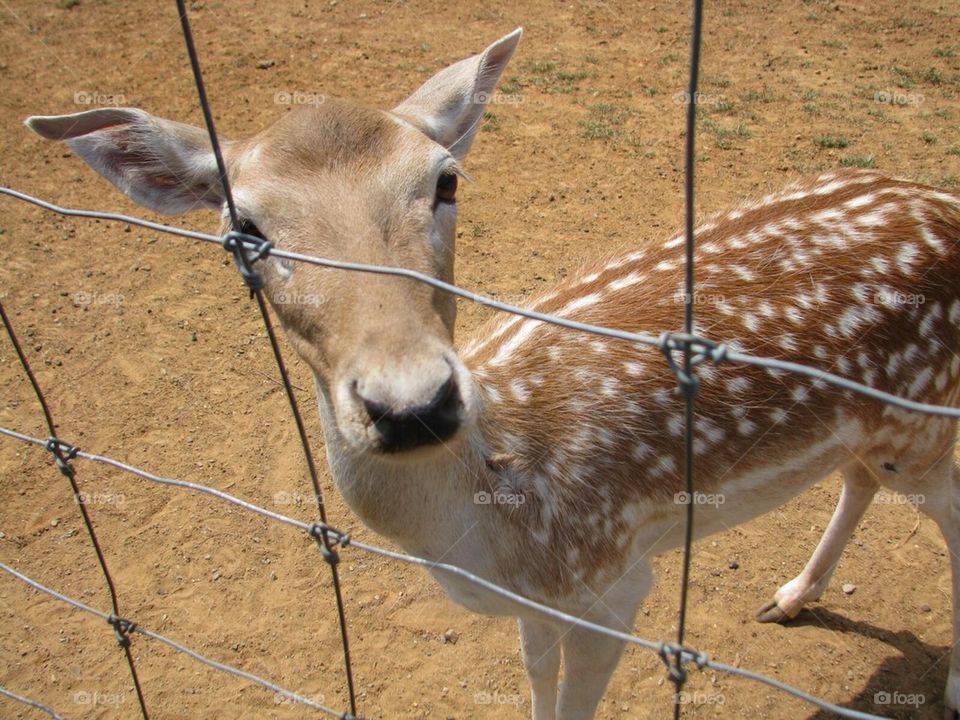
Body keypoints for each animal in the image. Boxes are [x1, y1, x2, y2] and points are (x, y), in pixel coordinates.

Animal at [23, 27, 960, 720]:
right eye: (242, 229)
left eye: (446, 181)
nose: (412, 404)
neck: (483, 531)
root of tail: (942, 200)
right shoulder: (538, 604)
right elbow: (535, 678)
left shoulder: (615, 578)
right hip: (888, 424)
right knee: (861, 476)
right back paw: (794, 594)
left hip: (930, 412)